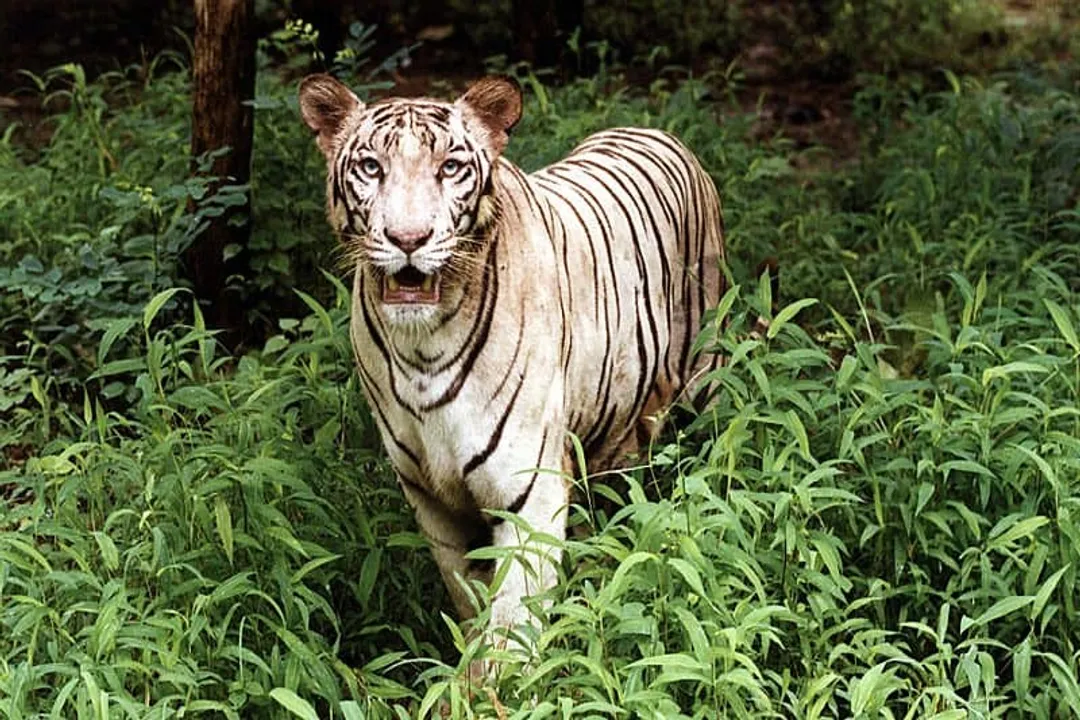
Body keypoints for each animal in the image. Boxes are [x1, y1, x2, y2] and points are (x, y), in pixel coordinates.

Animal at [299, 73, 725, 671]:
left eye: (450, 167)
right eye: (371, 167)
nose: (409, 239)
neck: (422, 346)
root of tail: (658, 131)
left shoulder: (531, 490)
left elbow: (511, 622)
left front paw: (497, 682)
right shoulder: (431, 498)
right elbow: (469, 598)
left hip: (710, 381)